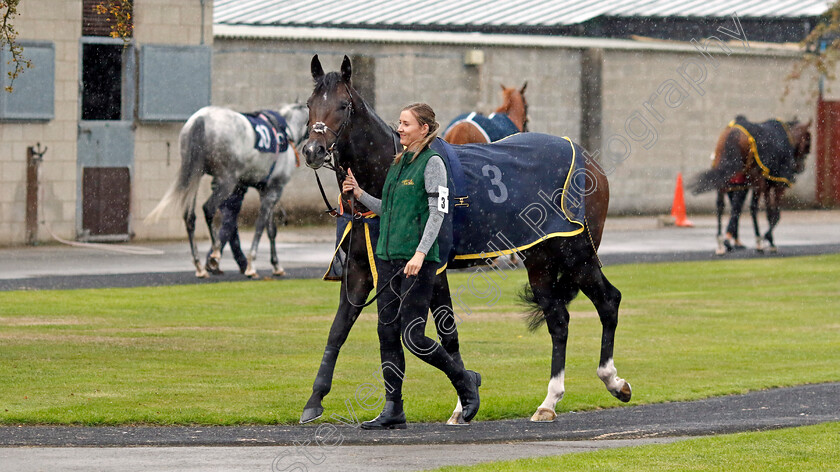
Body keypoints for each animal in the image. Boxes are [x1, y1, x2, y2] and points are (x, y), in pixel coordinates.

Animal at [144, 101, 308, 274]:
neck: (287, 129)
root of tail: (201, 118)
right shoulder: (274, 189)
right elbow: (260, 226)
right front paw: (252, 264)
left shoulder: (265, 190)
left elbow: (271, 230)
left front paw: (276, 265)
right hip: (227, 181)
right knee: (209, 208)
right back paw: (215, 253)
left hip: (195, 175)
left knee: (189, 216)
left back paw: (199, 265)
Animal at [296, 55, 632, 424]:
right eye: (310, 105)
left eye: (343, 105)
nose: (312, 150)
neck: (389, 171)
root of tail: (587, 158)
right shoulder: (360, 272)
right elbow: (339, 329)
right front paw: (315, 398)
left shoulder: (431, 268)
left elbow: (445, 333)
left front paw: (465, 397)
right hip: (540, 259)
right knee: (558, 319)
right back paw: (549, 400)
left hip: (576, 252)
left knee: (608, 300)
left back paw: (612, 380)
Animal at [692, 116, 812, 253]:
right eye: (808, 142)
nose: (800, 167)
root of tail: (734, 133)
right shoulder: (778, 184)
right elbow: (775, 214)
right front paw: (768, 238)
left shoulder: (767, 185)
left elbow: (769, 212)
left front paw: (769, 239)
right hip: (756, 182)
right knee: (752, 208)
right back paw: (757, 240)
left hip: (724, 175)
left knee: (721, 206)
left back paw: (721, 242)